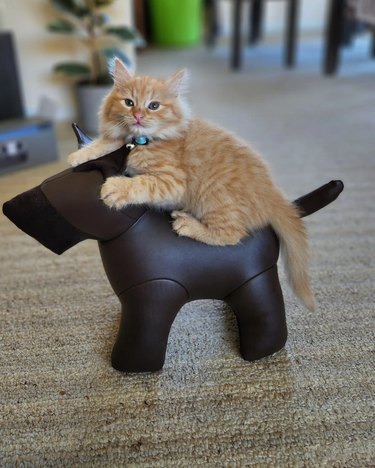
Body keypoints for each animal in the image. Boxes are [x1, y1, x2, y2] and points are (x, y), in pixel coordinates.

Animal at [69, 57, 316, 310]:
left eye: (154, 106)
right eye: (129, 103)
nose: (138, 115)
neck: (142, 141)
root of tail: (273, 195)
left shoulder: (173, 181)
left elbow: (142, 182)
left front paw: (115, 188)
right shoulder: (123, 141)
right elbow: (108, 142)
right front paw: (80, 155)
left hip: (213, 198)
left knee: (231, 234)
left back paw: (188, 225)